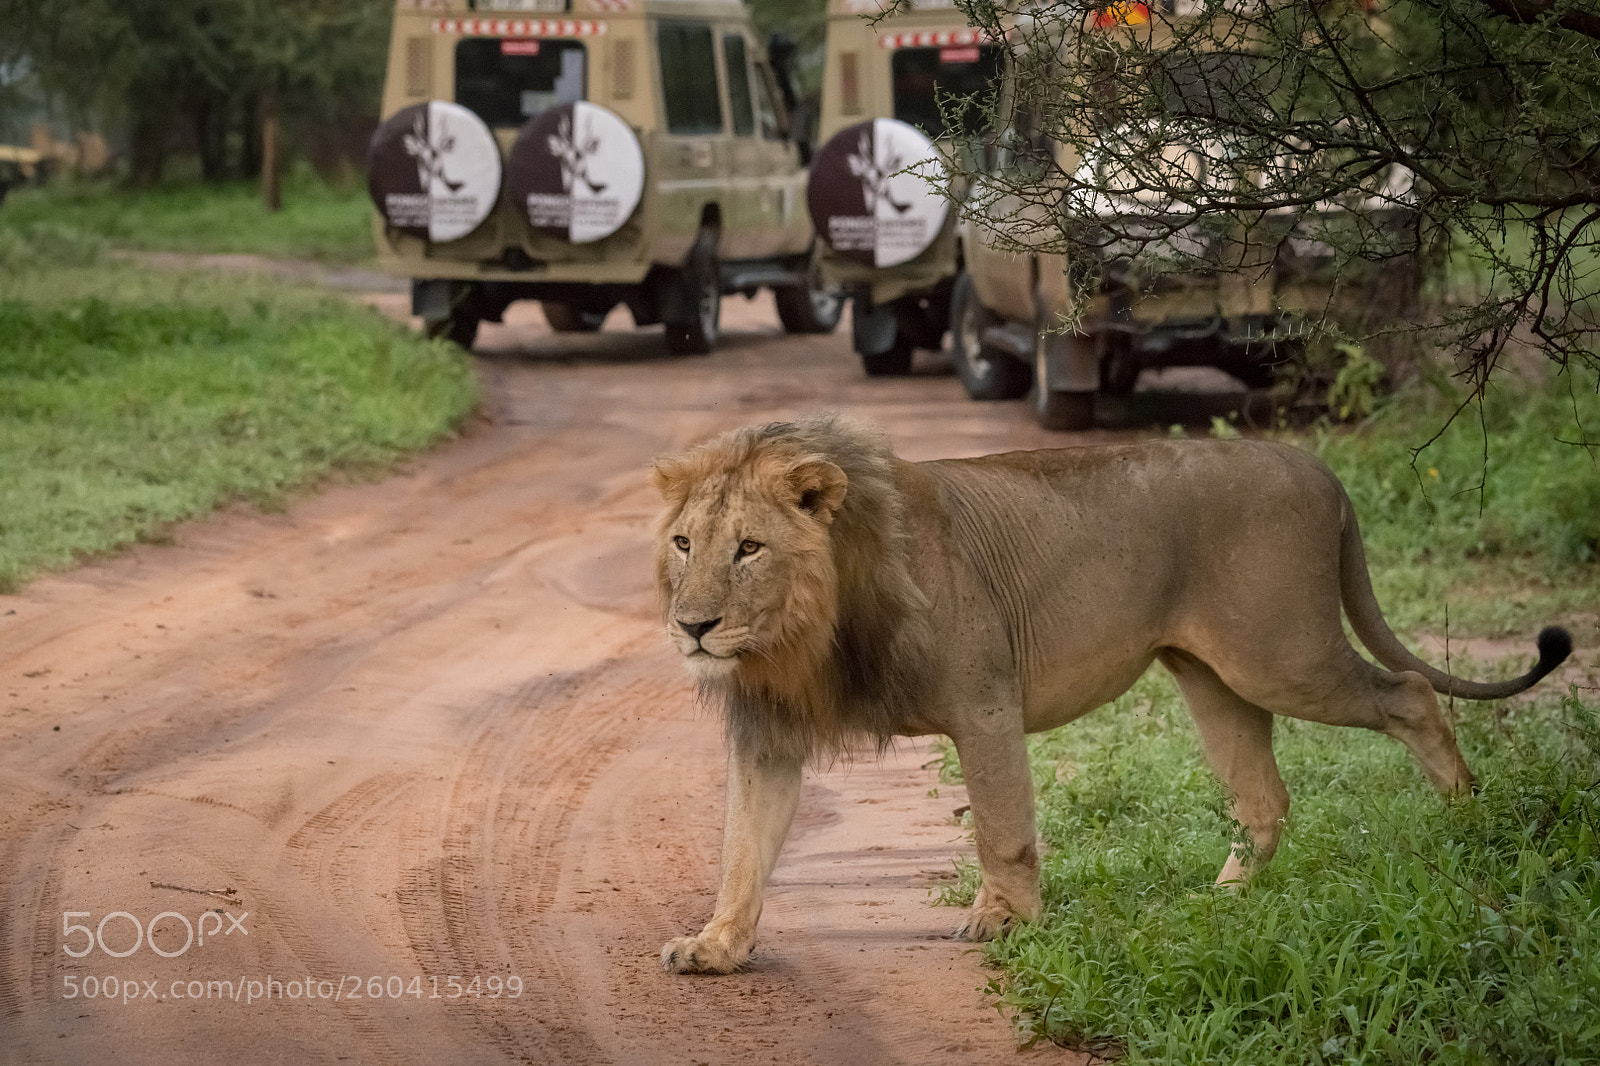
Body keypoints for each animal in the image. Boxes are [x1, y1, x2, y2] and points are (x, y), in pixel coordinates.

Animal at [651, 414, 1571, 974]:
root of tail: (1314, 465)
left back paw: (1466, 816)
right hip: (1213, 675)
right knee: (1264, 797)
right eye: (685, 543)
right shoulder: (768, 736)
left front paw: (1006, 922)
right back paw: (1223, 901)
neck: (801, 634)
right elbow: (742, 850)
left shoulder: (984, 703)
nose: (693, 626)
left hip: (1281, 653)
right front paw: (716, 945)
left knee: (1411, 693)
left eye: (749, 549)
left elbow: (1002, 828)